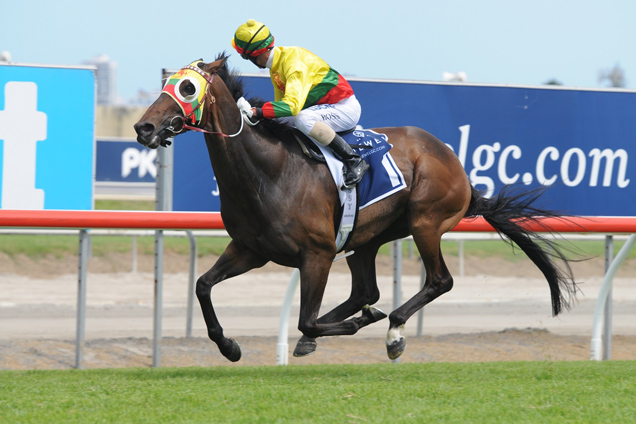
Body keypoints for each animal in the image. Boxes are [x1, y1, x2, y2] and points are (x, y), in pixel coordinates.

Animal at [133, 54, 576, 362]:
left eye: (187, 88)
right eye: (168, 82)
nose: (144, 127)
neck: (269, 170)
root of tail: (460, 170)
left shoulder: (317, 254)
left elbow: (306, 318)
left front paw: (359, 323)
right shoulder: (251, 249)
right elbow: (203, 285)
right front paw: (229, 346)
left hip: (426, 221)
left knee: (439, 281)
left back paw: (392, 329)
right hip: (367, 237)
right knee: (367, 289)